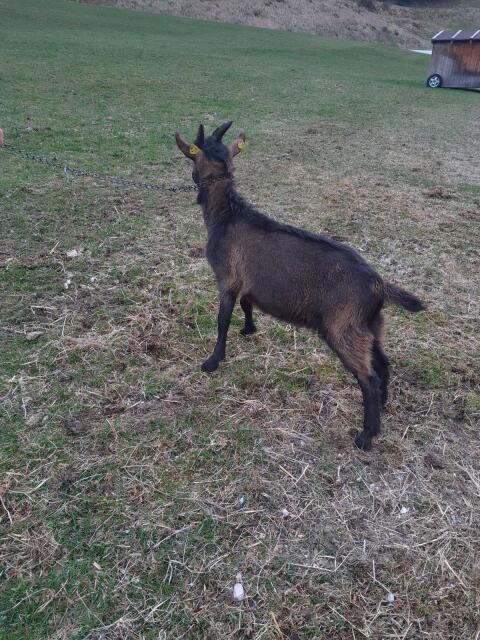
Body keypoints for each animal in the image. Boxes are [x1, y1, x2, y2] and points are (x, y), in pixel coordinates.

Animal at [175, 121, 425, 450]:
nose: (192, 180)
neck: (227, 216)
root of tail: (378, 285)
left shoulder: (226, 278)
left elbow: (222, 319)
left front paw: (213, 361)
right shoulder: (248, 280)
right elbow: (246, 303)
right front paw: (249, 329)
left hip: (342, 326)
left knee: (367, 377)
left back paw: (366, 435)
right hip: (371, 323)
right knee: (382, 362)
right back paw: (382, 407)